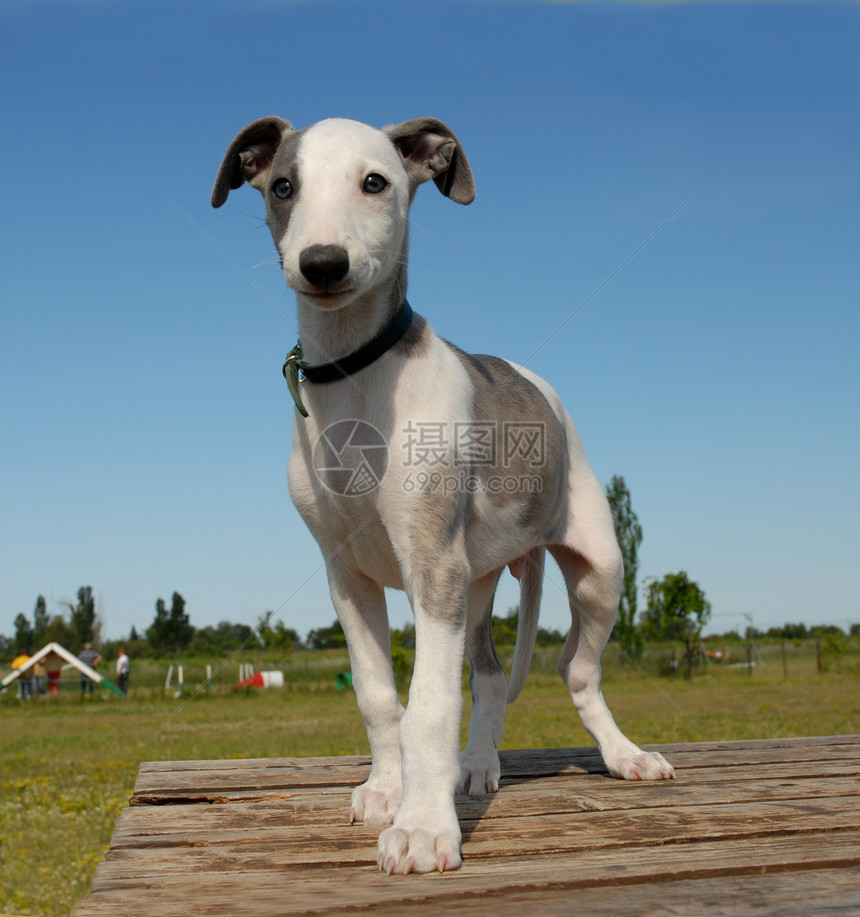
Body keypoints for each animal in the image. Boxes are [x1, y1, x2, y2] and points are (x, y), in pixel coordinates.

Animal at [212, 114, 676, 872]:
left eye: (375, 182)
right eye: (283, 186)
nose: (322, 263)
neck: (354, 376)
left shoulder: (432, 565)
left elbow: (428, 705)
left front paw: (425, 827)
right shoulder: (348, 576)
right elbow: (379, 696)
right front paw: (386, 791)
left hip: (597, 569)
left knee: (576, 670)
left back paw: (625, 755)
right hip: (480, 582)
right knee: (487, 675)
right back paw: (479, 767)